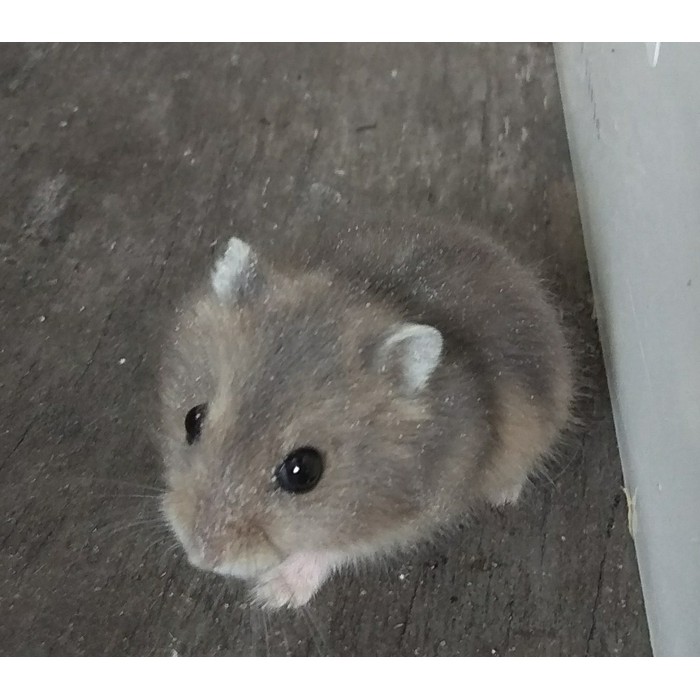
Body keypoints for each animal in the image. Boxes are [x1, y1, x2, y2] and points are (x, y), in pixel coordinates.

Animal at [158, 219, 573, 609]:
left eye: (303, 471)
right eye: (192, 419)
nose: (200, 557)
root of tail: (510, 263)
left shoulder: (405, 516)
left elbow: (330, 547)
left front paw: (269, 596)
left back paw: (503, 494)